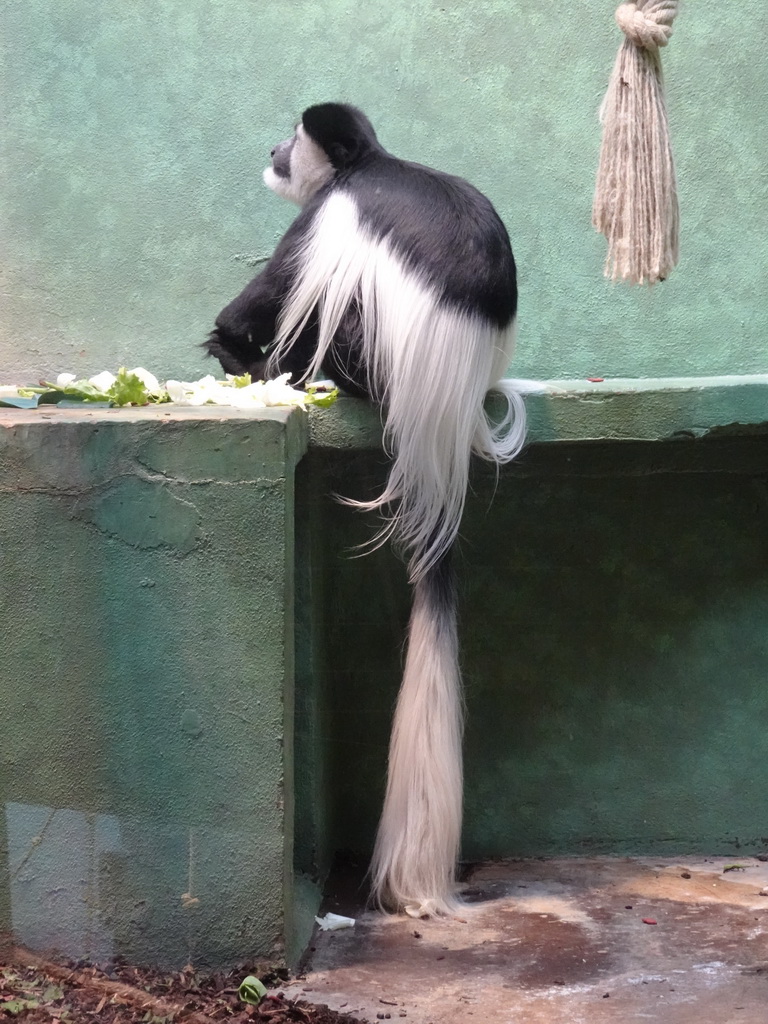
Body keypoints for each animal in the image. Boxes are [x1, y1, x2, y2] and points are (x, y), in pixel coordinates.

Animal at [207, 105, 528, 921]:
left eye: (292, 142)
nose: (273, 151)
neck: (369, 164)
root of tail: (439, 435)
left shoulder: (328, 217)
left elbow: (264, 296)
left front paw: (231, 347)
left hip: (361, 346)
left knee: (311, 313)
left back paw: (272, 369)